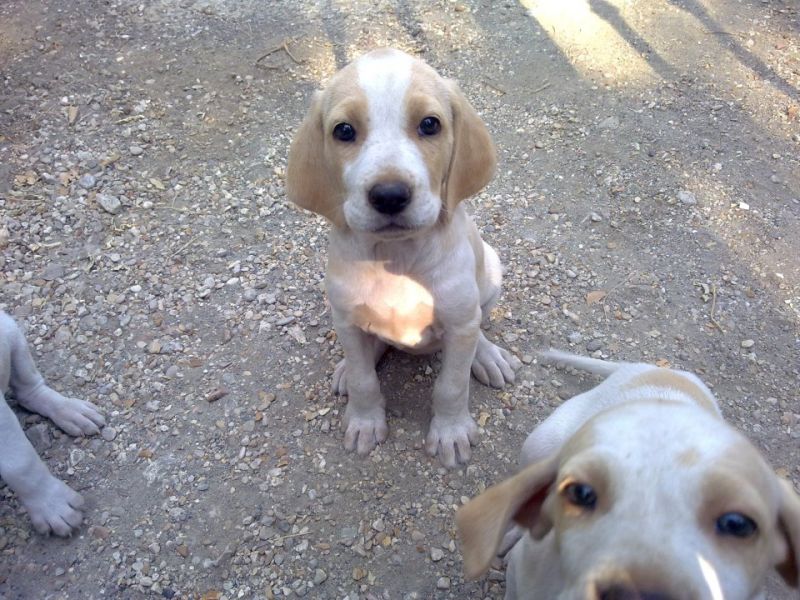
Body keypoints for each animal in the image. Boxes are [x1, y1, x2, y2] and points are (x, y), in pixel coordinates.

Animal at [284, 48, 520, 468]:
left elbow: (452, 385)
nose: (390, 196)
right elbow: (364, 380)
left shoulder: (459, 322)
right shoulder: (345, 320)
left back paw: (487, 356)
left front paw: (451, 431)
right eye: (343, 131)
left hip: (491, 272)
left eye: (429, 124)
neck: (396, 259)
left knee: (479, 325)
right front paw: (364, 421)